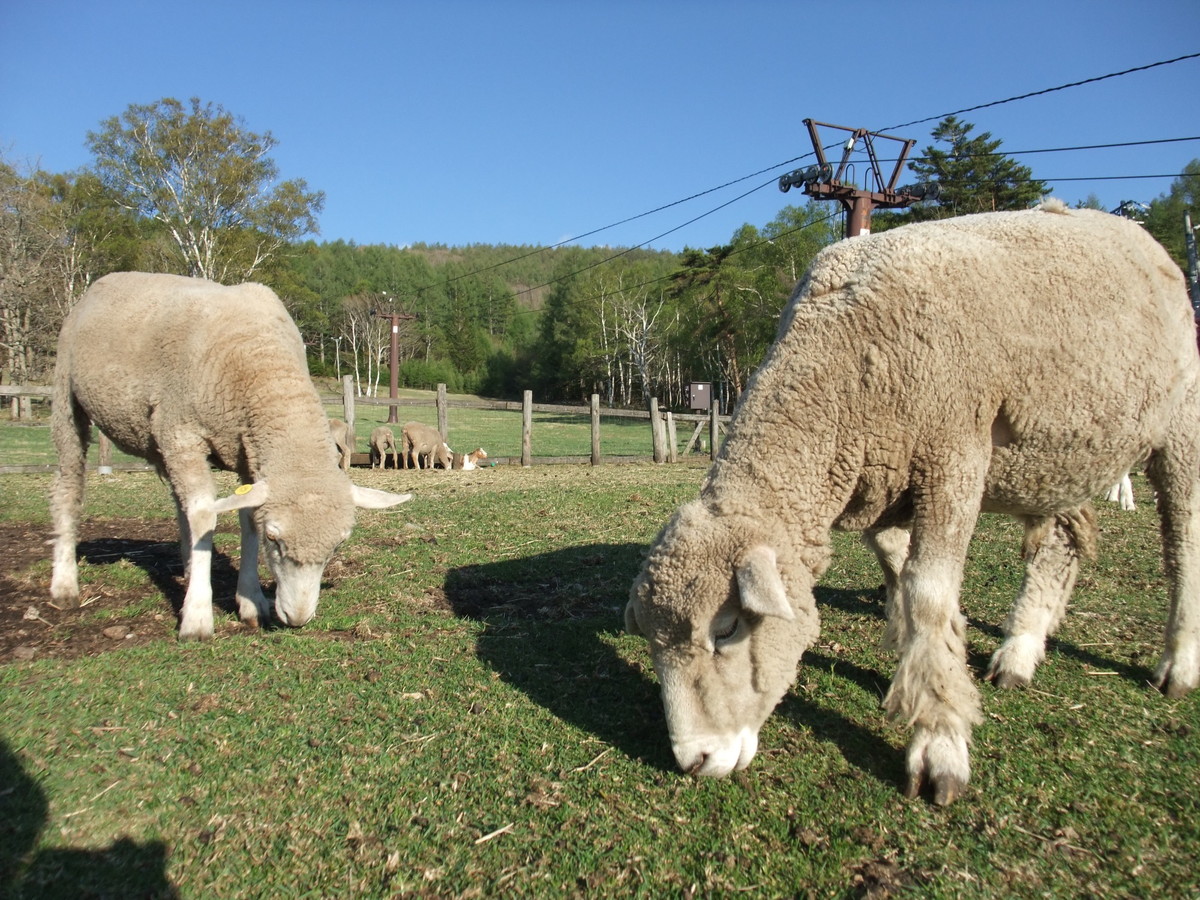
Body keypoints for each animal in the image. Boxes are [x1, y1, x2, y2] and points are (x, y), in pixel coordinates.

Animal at [49, 273, 415, 643]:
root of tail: (107, 280)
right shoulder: (181, 432)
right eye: (274, 539)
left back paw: (188, 566)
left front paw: (251, 601)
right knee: (69, 487)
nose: (297, 619)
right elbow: (205, 518)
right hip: (67, 393)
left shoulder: (249, 454)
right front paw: (197, 617)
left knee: (180, 502)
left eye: (337, 546)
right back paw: (64, 584)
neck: (263, 361)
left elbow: (245, 520)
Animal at [628, 206, 1200, 811]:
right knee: (1061, 541)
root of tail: (1134, 233)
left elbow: (927, 593)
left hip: (1179, 424)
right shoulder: (885, 480)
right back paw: (1020, 649)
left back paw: (1178, 664)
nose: (694, 761)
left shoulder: (953, 457)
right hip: (1062, 451)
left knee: (1183, 539)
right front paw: (924, 668)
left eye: (728, 629)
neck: (843, 365)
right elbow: (899, 572)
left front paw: (940, 740)